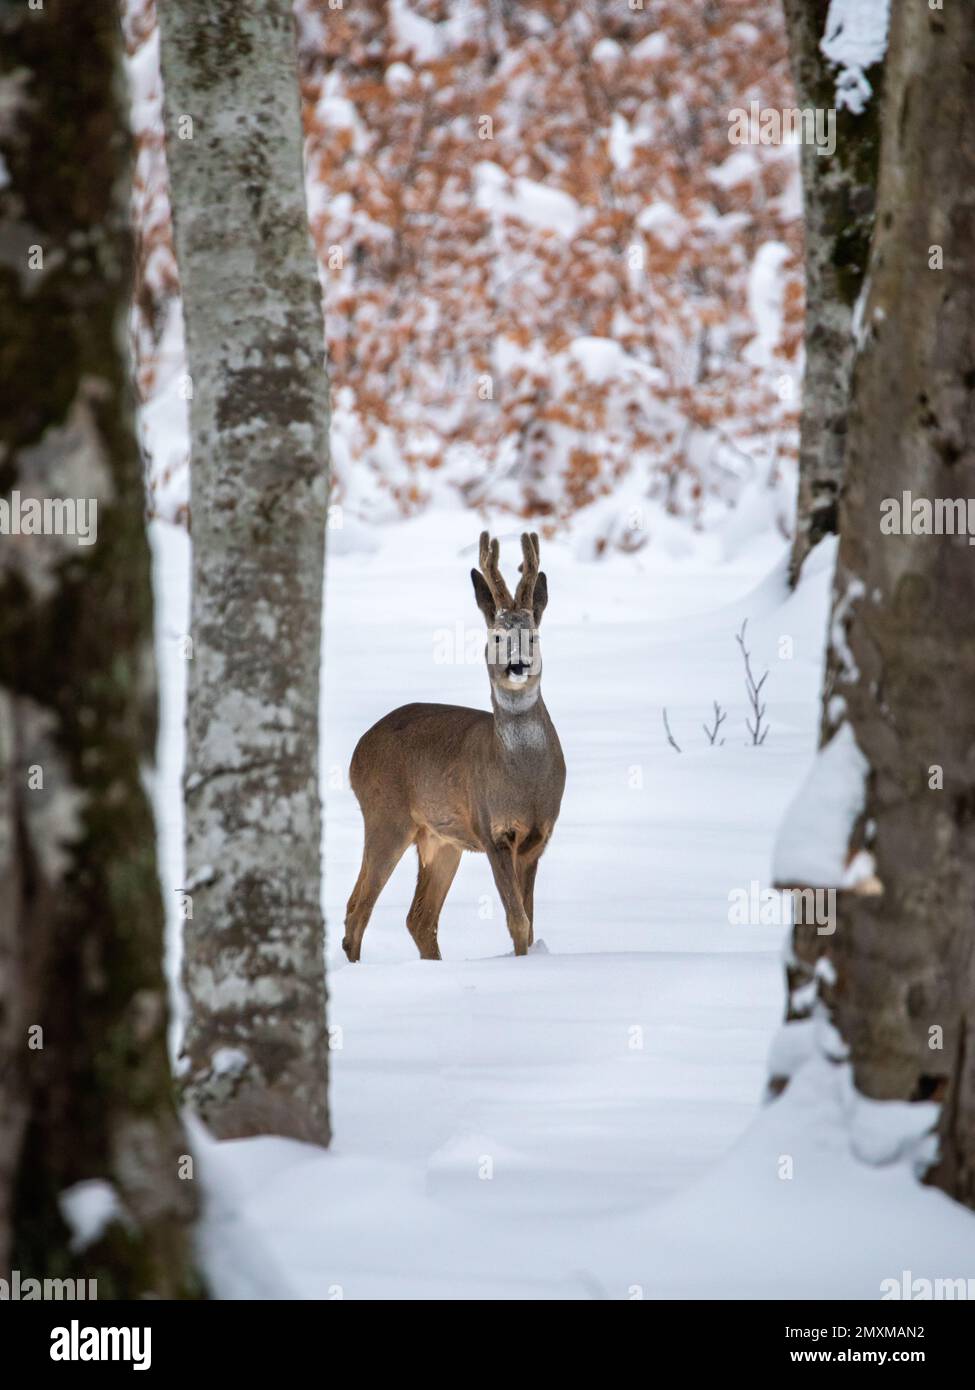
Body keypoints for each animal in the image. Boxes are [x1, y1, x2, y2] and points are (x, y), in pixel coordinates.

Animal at [342, 531, 565, 963]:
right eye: (497, 636)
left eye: (532, 636)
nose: (517, 665)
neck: (524, 781)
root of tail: (356, 752)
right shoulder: (493, 831)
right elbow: (517, 921)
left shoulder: (538, 838)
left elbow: (529, 925)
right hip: (386, 815)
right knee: (358, 909)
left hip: (440, 839)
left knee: (418, 918)